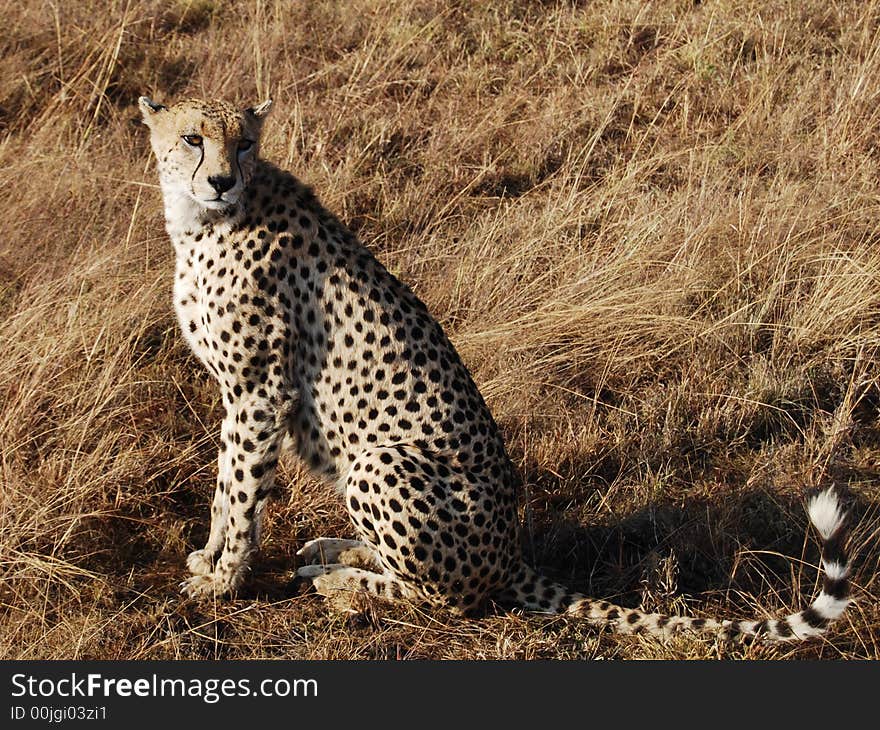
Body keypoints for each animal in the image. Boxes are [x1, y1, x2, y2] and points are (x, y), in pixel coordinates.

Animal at [139, 94, 852, 640]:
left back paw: (341, 580)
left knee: (449, 597)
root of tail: (510, 551)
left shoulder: (260, 390)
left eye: (245, 144)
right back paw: (338, 551)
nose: (222, 180)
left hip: (381, 461)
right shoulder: (242, 393)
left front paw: (222, 580)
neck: (202, 223)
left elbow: (240, 491)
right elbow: (226, 487)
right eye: (193, 138)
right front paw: (209, 558)